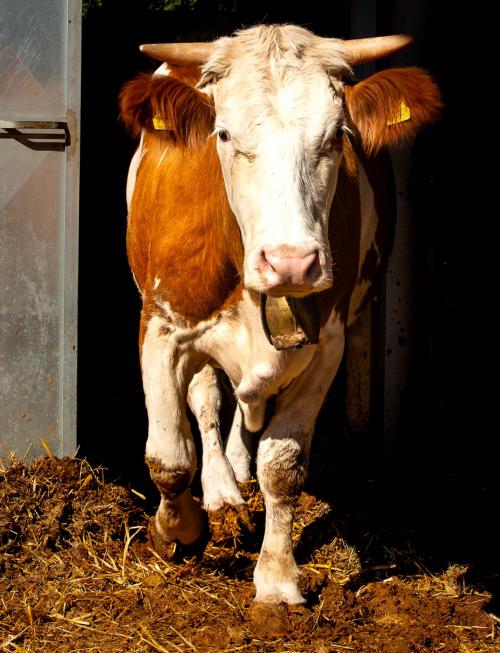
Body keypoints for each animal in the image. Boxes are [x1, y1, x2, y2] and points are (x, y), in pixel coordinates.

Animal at [121, 25, 442, 608]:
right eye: (224, 134)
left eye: (337, 136)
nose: (291, 261)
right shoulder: (161, 327)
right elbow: (168, 457)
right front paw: (179, 531)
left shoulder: (327, 347)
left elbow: (283, 464)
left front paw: (276, 576)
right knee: (206, 399)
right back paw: (221, 490)